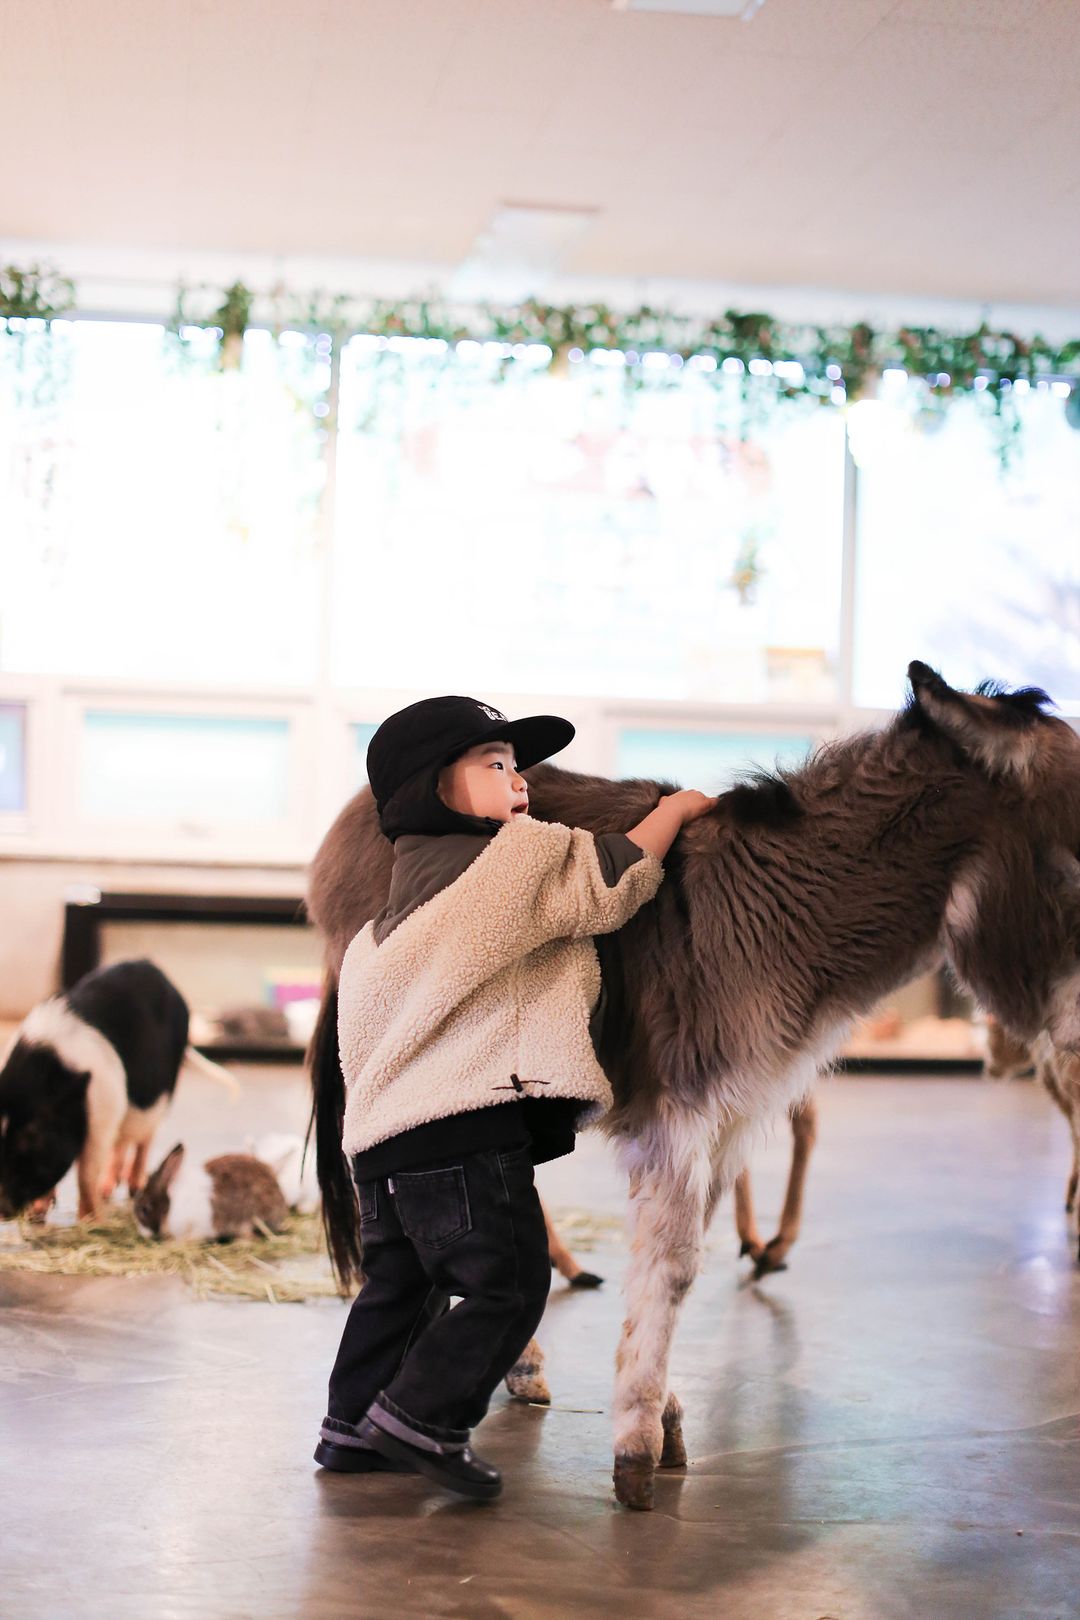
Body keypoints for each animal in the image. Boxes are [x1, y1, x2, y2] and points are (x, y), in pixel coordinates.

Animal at [0, 959, 236, 1218]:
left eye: (33, 1137)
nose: (3, 1209)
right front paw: (38, 1212)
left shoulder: (102, 1114)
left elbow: (86, 1173)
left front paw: (89, 1219)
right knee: (123, 1141)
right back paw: (108, 1188)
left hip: (159, 1098)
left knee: (145, 1138)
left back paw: (133, 1187)